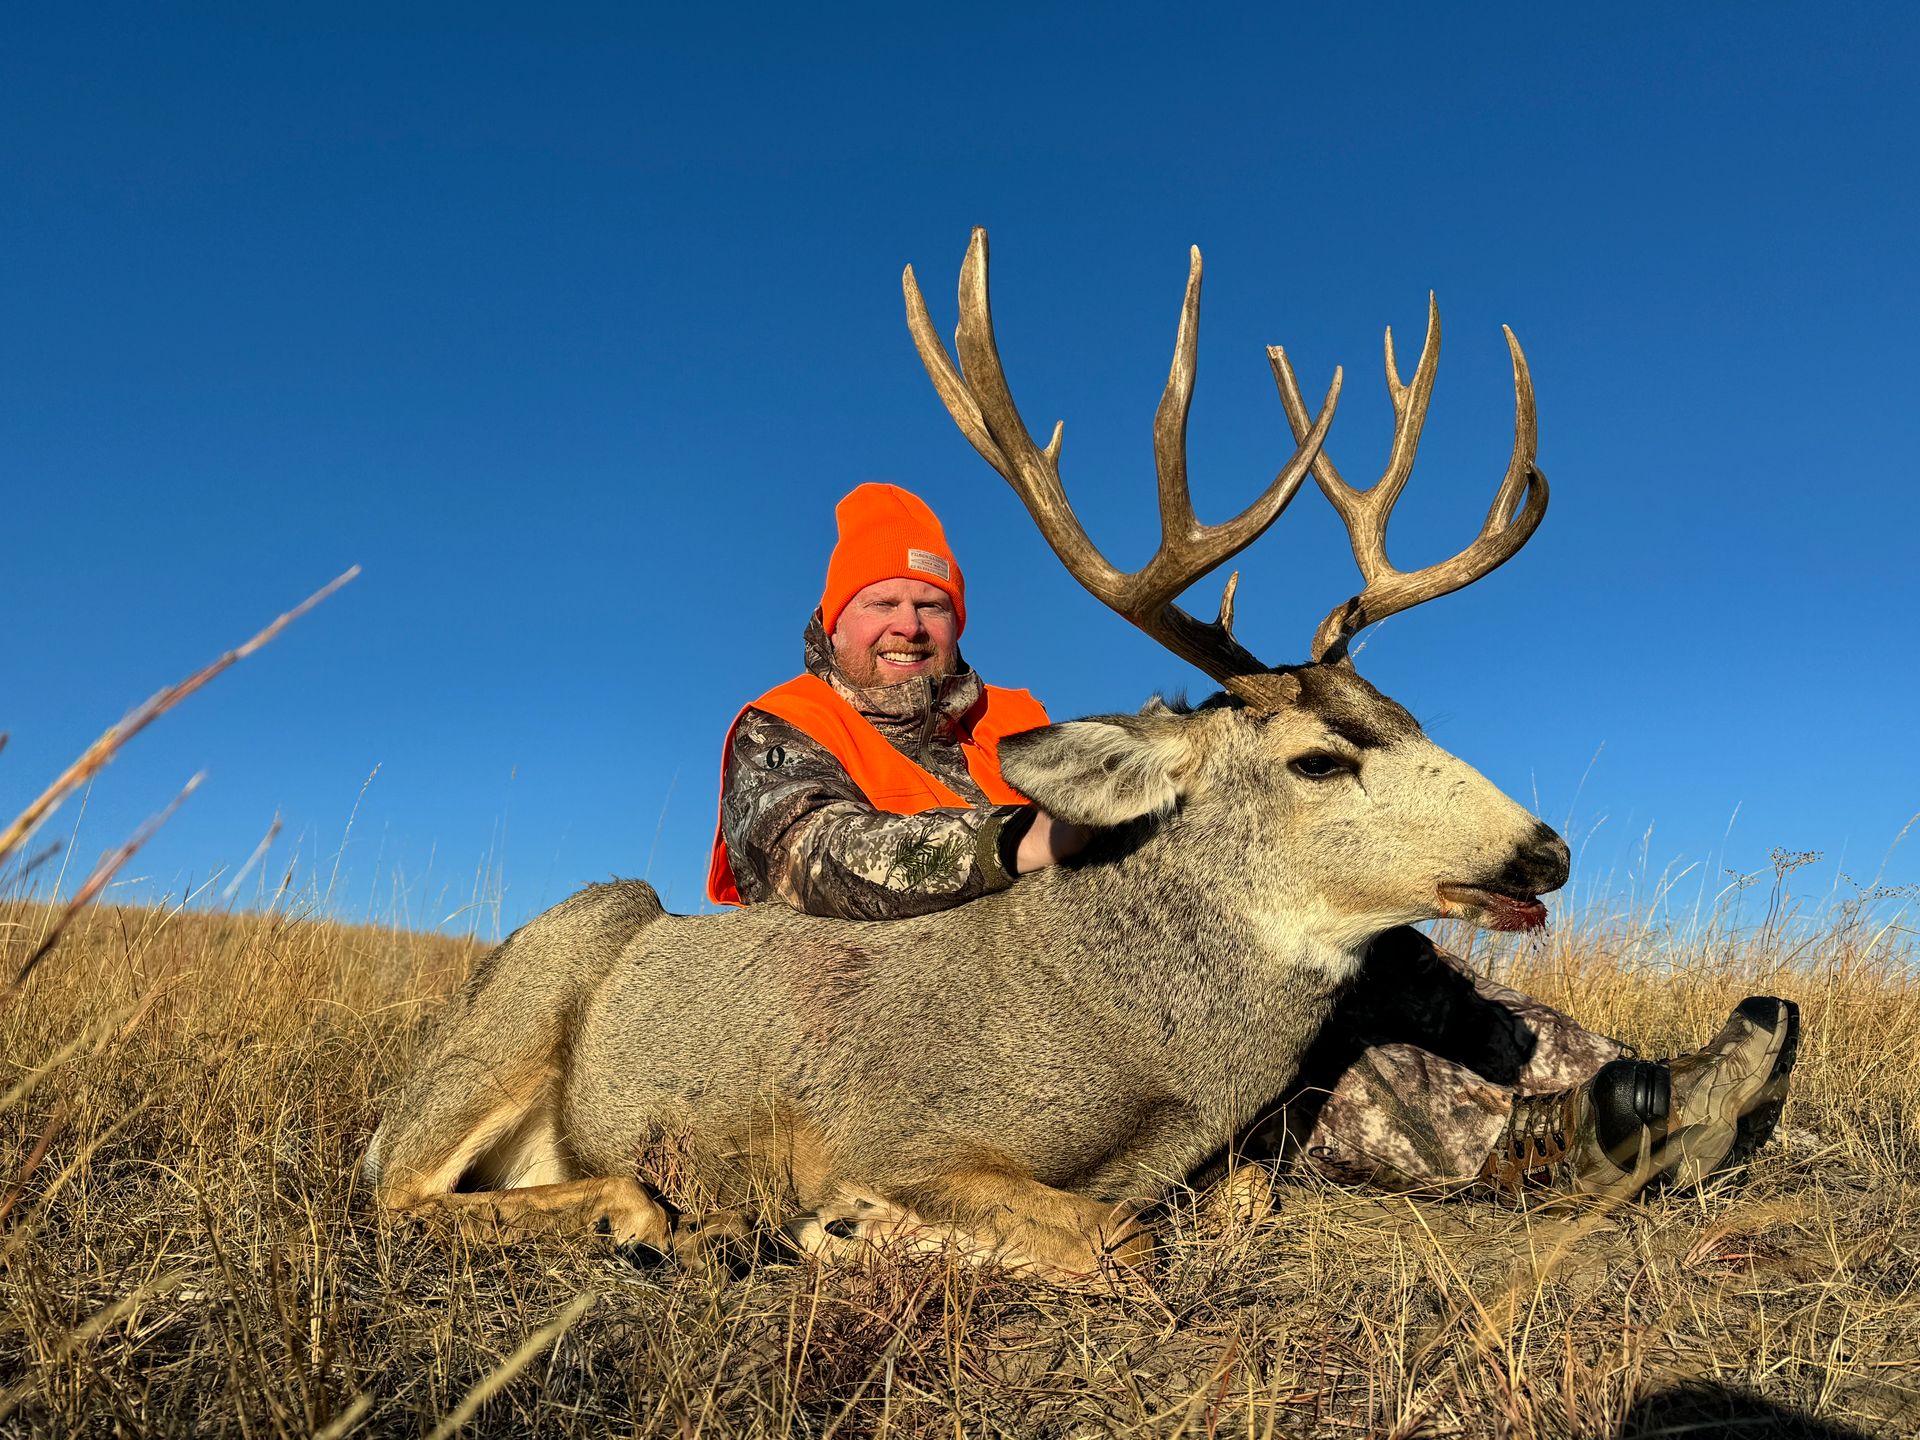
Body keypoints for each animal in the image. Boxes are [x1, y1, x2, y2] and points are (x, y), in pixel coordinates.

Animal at [362, 228, 1569, 1282]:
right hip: (559, 959)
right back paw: (649, 1217)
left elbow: (1239, 1199)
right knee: (398, 1191)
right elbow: (1117, 1238)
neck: (1147, 1048)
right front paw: (849, 1228)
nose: (1545, 852)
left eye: (1412, 717)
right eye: (1319, 760)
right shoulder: (891, 1131)